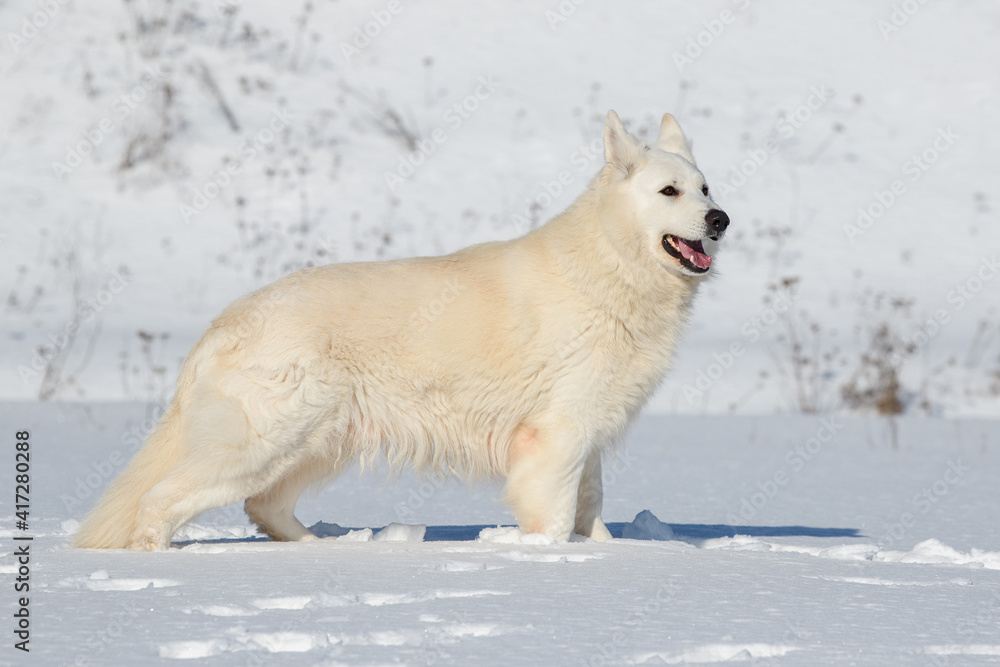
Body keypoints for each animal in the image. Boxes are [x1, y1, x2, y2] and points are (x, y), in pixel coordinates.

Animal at [76, 109, 728, 552]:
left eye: (705, 188)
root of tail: (222, 325)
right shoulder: (557, 437)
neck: (608, 268)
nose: (721, 219)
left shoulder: (585, 435)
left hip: (315, 444)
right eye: (669, 191)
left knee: (263, 506)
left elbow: (591, 513)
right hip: (266, 442)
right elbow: (556, 518)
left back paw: (321, 550)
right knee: (162, 499)